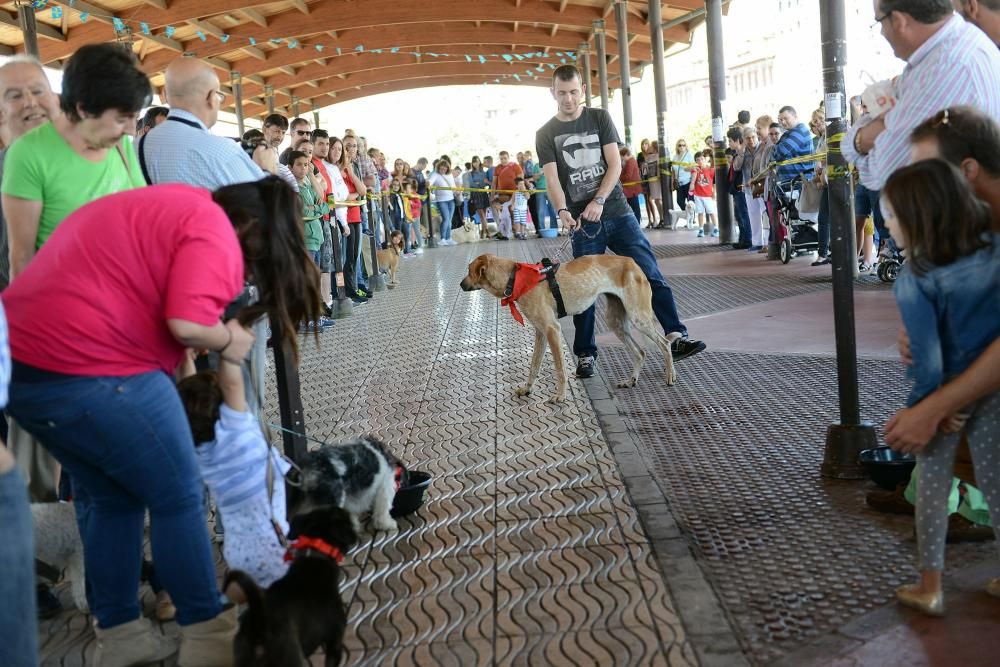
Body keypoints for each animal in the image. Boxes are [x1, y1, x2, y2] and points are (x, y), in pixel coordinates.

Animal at [458, 254, 680, 402]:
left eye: (468, 270)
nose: (460, 284)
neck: (515, 278)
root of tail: (632, 262)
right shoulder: (540, 332)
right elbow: (534, 366)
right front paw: (527, 389)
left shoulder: (552, 329)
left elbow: (560, 369)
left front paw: (560, 395)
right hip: (616, 322)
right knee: (640, 352)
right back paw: (631, 380)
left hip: (638, 317)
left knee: (664, 343)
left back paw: (670, 375)